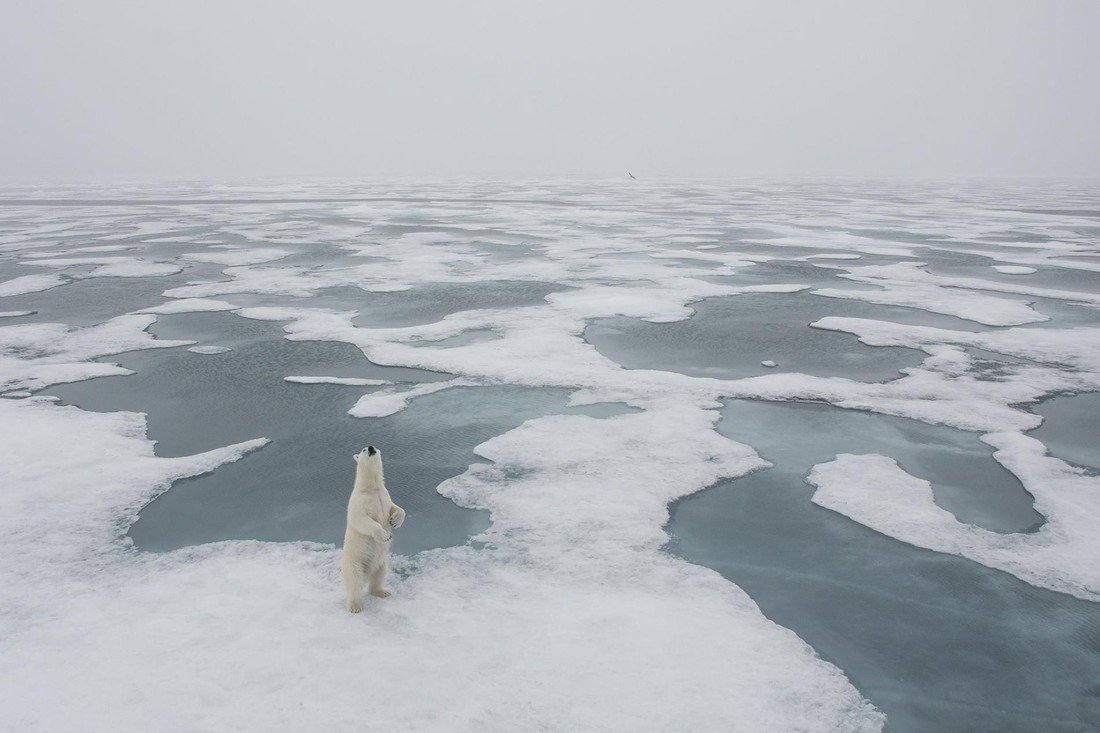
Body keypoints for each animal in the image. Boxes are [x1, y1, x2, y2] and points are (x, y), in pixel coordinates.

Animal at [341, 444, 407, 611]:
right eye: (364, 450)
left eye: (374, 446)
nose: (371, 447)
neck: (372, 488)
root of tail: (367, 573)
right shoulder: (359, 501)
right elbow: (362, 520)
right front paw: (385, 535)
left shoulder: (385, 497)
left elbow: (396, 508)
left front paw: (395, 521)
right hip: (355, 562)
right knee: (354, 581)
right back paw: (355, 605)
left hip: (381, 562)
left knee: (379, 576)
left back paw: (383, 591)